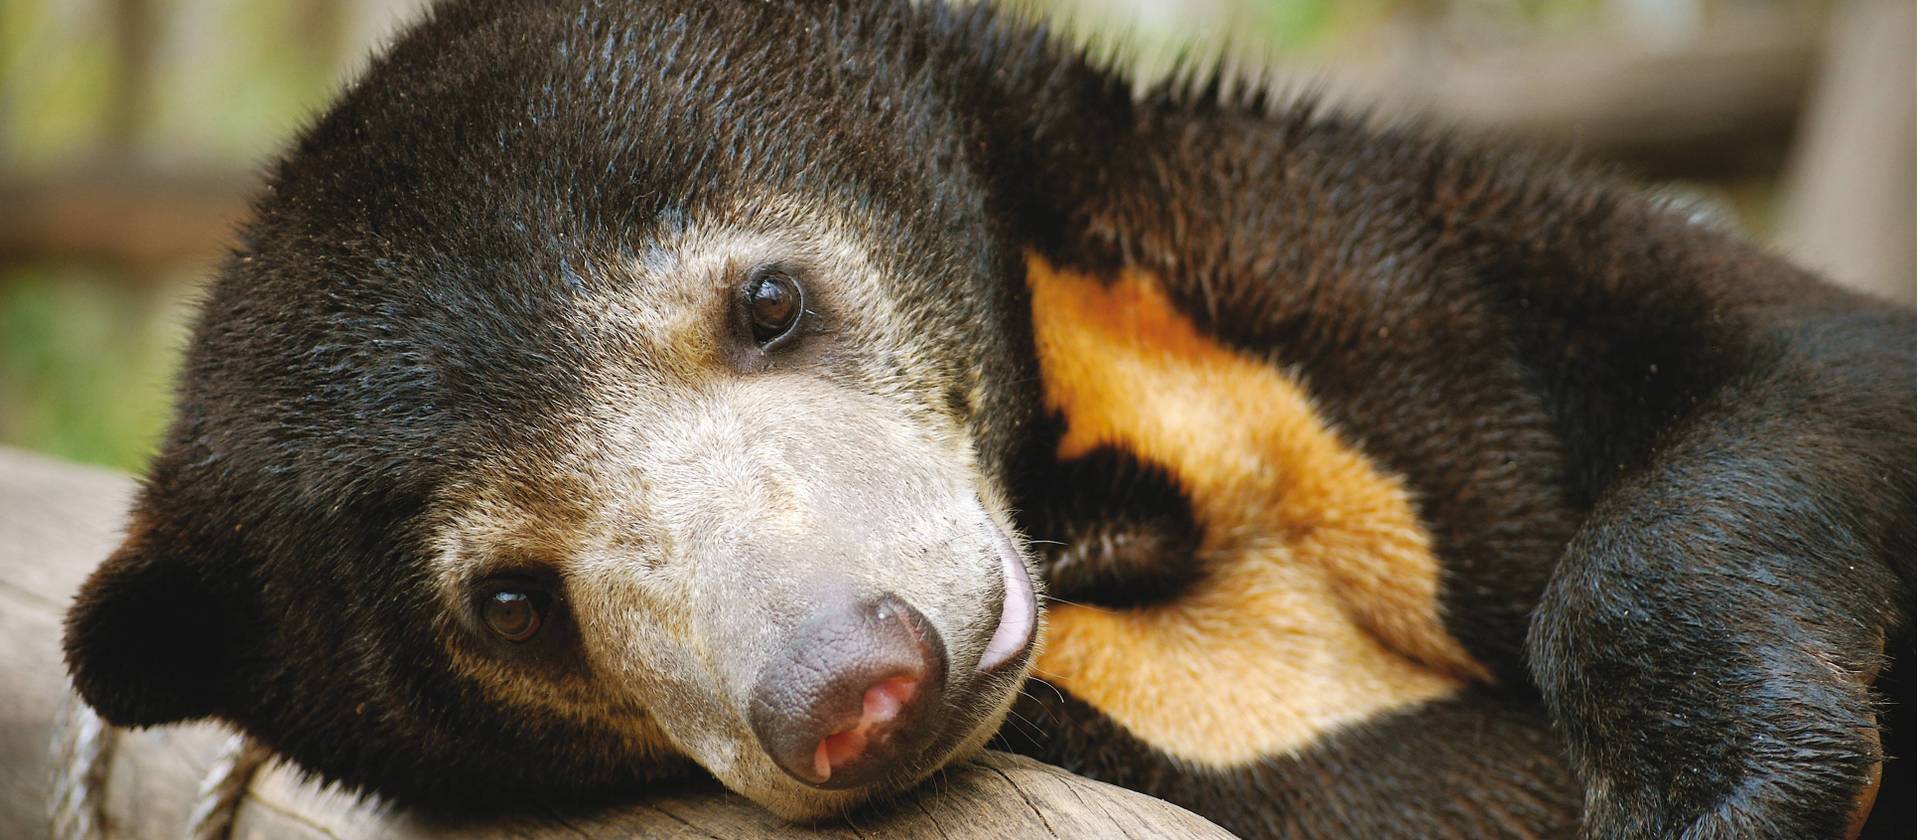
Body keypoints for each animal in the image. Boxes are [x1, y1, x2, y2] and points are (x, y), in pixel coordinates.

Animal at [62, 0, 1912, 837]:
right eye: (511, 601)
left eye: (767, 304)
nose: (858, 683)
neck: (1098, 513)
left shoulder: (1292, 262)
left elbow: (1788, 364)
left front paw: (1718, 791)